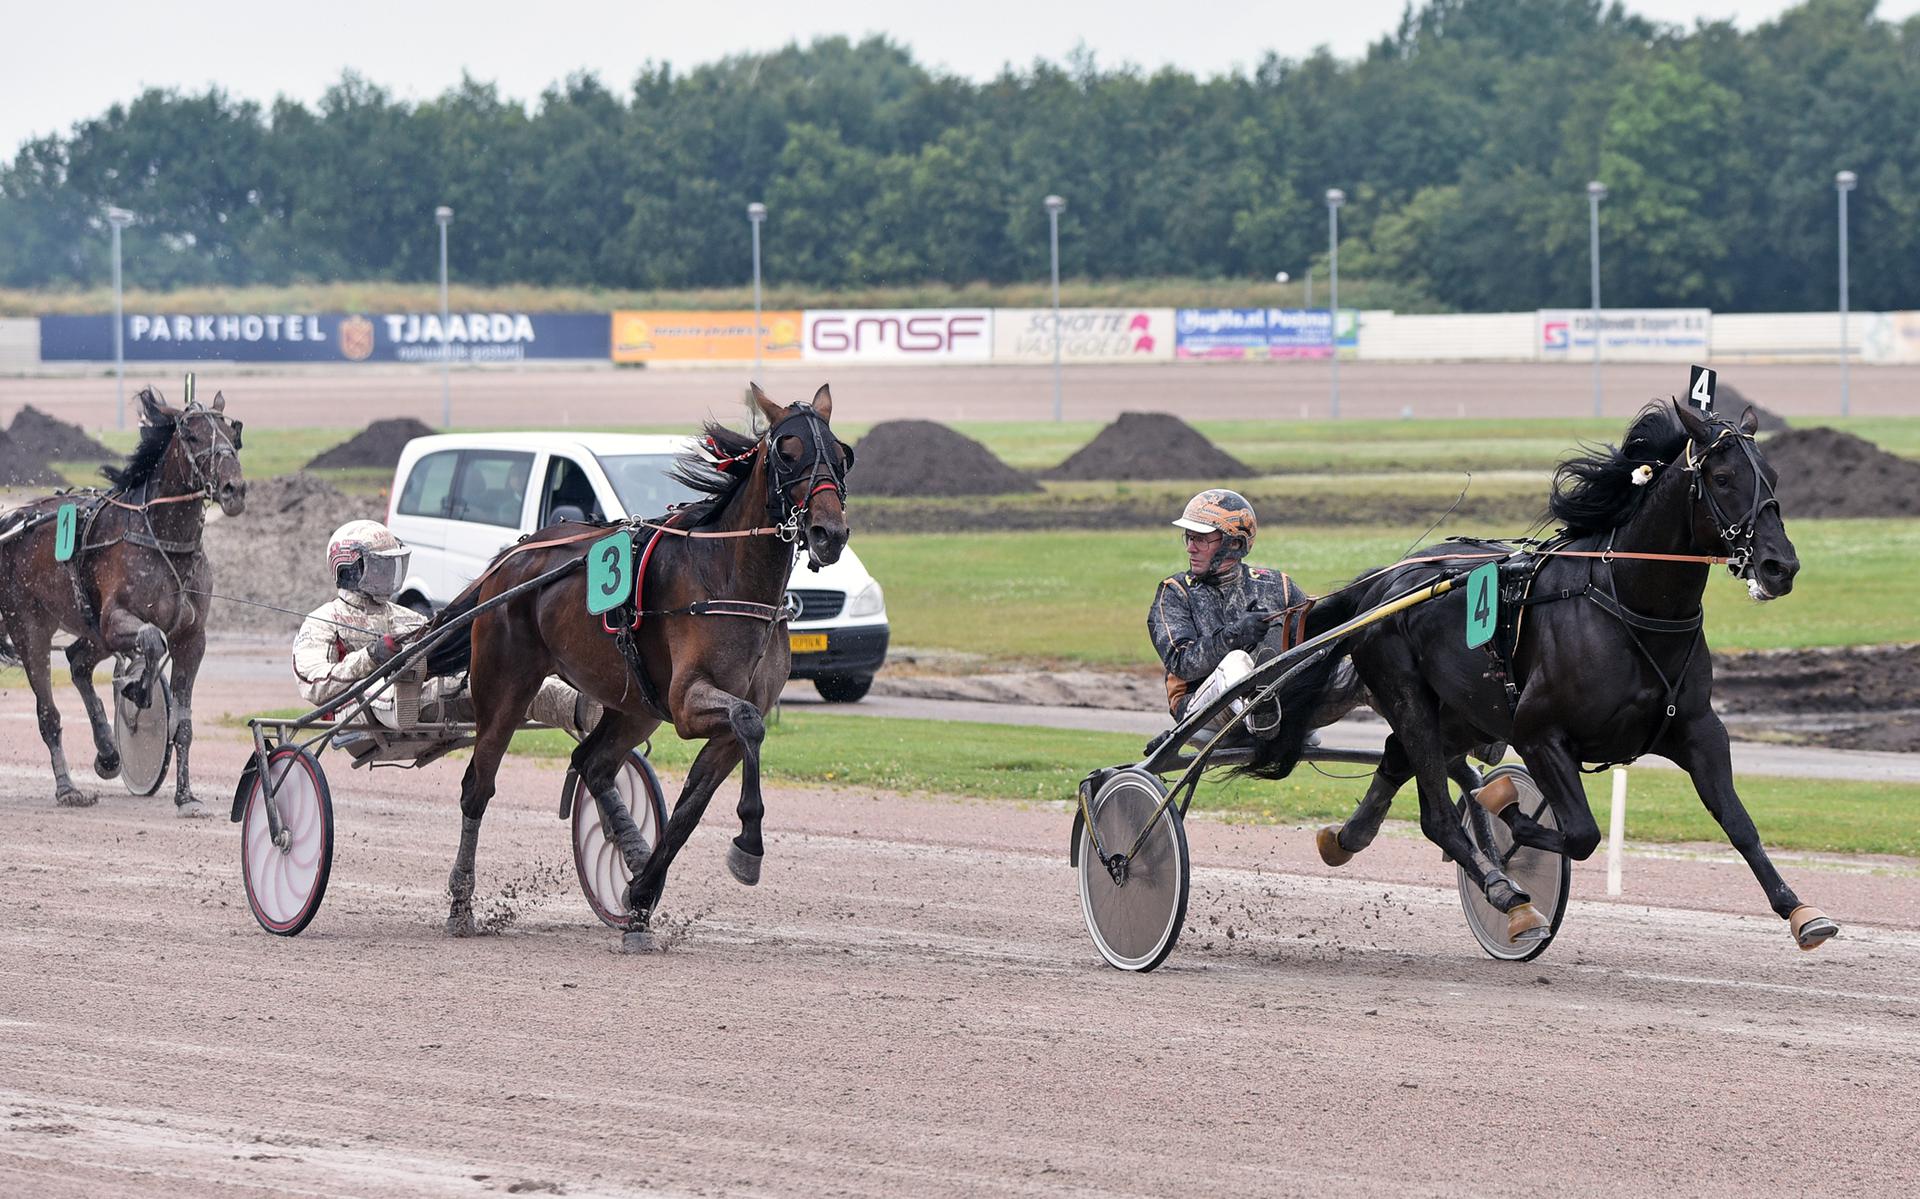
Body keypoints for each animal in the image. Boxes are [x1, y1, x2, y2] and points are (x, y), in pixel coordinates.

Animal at [0, 388, 247, 810]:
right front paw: (136, 689)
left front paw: (185, 796)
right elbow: (151, 640)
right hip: (30, 626)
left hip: (90, 628)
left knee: (77, 661)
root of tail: (15, 521)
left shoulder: (191, 638)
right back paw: (68, 788)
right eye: (191, 435)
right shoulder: (117, 620)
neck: (164, 541)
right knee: (49, 713)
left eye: (232, 434)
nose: (234, 490)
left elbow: (182, 722)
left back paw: (108, 752)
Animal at [439, 384, 860, 945]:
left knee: (593, 763)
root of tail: (510, 559)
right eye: (787, 453)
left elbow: (690, 807)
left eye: (840, 455)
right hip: (506, 684)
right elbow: (747, 724)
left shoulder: (719, 726)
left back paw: (633, 858)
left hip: (634, 703)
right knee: (477, 787)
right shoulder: (687, 703)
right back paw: (461, 904)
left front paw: (641, 895)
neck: (730, 579)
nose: (828, 532)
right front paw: (747, 847)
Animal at [1251, 403, 1835, 956]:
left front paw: (1800, 911)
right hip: (1409, 693)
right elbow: (1578, 832)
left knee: (1398, 756)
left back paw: (1347, 837)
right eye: (1723, 477)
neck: (1628, 604)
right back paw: (1505, 892)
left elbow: (1738, 822)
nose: (1780, 566)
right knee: (1437, 813)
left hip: (1465, 709)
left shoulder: (1697, 729)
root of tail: (1383, 583)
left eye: (1772, 475)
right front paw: (1505, 810)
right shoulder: (1539, 733)